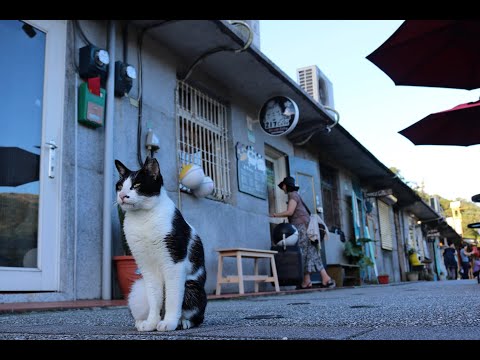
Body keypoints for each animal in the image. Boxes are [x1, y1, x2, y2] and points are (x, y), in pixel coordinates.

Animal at [116, 158, 208, 332]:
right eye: (119, 186)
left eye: (137, 185)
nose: (122, 196)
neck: (142, 218)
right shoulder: (146, 266)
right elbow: (154, 298)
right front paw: (151, 323)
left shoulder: (174, 261)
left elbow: (172, 297)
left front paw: (169, 322)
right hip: (138, 288)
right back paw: (141, 321)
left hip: (192, 287)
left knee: (198, 315)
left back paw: (183, 322)